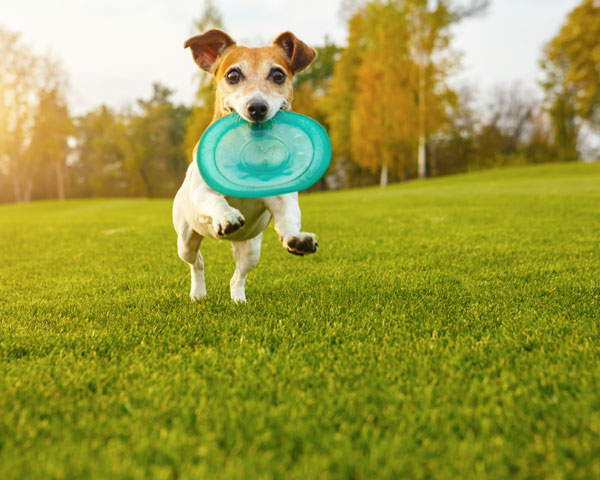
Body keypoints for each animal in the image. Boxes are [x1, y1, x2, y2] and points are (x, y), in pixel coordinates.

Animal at [172, 28, 318, 302]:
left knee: (237, 276)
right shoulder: (202, 192)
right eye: (233, 75)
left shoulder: (282, 196)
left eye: (278, 75)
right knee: (196, 263)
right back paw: (198, 292)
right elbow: (214, 200)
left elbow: (289, 216)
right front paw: (226, 216)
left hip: (251, 250)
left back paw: (238, 298)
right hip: (186, 239)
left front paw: (296, 238)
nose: (257, 107)